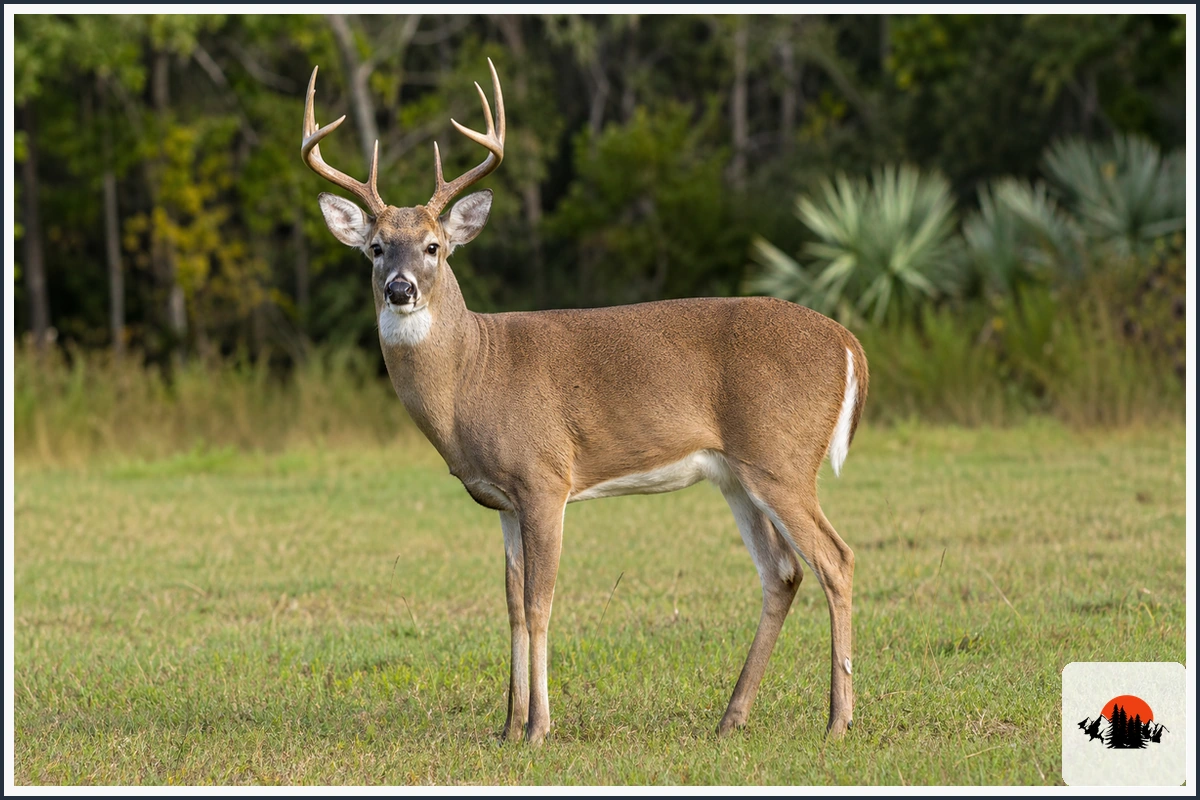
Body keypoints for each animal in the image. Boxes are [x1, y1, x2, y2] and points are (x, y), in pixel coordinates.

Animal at [301, 59, 868, 745]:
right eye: (376, 247)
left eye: (434, 246)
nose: (400, 289)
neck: (472, 378)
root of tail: (847, 343)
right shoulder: (502, 499)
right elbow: (512, 605)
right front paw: (507, 726)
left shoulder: (545, 476)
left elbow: (541, 603)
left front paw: (538, 728)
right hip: (737, 475)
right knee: (782, 572)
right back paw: (731, 718)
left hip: (781, 457)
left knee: (835, 559)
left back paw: (838, 720)